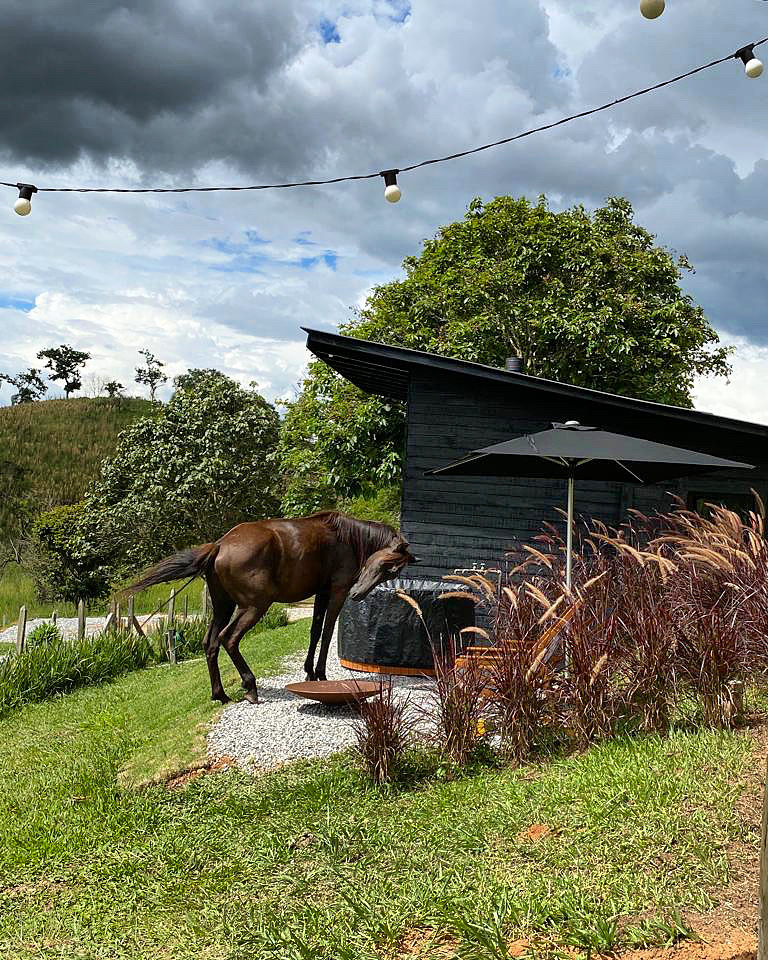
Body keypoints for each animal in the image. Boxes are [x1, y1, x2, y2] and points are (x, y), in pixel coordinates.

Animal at [127, 510, 414, 704]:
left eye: (392, 571)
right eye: (386, 566)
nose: (358, 594)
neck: (348, 537)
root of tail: (220, 545)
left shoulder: (321, 594)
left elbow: (314, 632)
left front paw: (309, 673)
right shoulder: (337, 592)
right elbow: (327, 632)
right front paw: (321, 675)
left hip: (224, 606)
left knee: (211, 643)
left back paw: (220, 694)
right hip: (254, 606)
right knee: (228, 638)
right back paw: (250, 686)